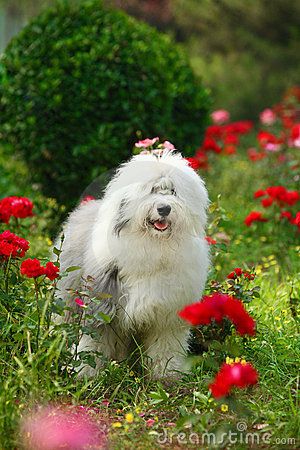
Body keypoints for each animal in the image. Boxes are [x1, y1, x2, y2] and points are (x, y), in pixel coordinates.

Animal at [55, 149, 209, 378]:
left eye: (173, 191)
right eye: (152, 190)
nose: (164, 208)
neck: (152, 245)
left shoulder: (168, 314)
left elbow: (165, 347)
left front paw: (165, 376)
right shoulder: (101, 303)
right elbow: (92, 342)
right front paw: (85, 373)